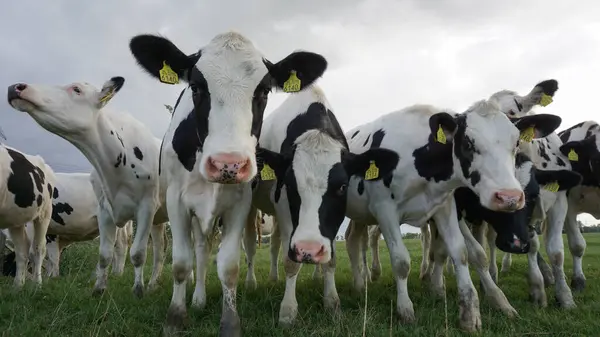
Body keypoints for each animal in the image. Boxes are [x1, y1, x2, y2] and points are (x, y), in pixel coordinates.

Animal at [0, 144, 55, 286]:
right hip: (15, 219)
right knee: (22, 250)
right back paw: (18, 285)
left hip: (44, 214)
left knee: (38, 248)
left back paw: (37, 284)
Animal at [7, 77, 169, 296]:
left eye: (77, 89)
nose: (16, 87)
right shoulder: (105, 209)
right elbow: (104, 254)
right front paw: (99, 289)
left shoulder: (147, 206)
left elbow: (138, 253)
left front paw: (137, 291)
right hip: (158, 219)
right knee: (160, 249)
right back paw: (153, 284)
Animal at [129, 30, 330, 334]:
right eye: (196, 88)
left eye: (264, 91)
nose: (228, 163)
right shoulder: (176, 201)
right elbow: (181, 263)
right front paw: (175, 318)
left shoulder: (239, 204)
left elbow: (229, 266)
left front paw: (230, 323)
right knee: (200, 252)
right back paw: (198, 298)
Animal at [342, 93, 564, 330]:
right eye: (467, 143)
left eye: (516, 143)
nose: (509, 197)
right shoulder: (384, 210)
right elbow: (401, 262)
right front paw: (405, 311)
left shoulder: (445, 207)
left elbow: (461, 253)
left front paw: (472, 312)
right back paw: (360, 283)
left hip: (360, 215)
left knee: (352, 240)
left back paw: (359, 285)